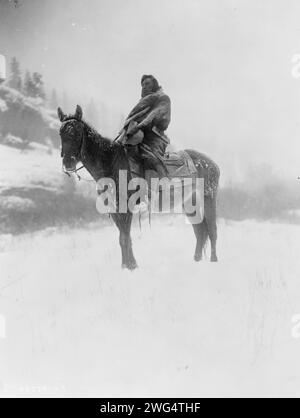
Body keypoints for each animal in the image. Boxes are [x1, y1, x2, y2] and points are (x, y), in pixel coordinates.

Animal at [57, 104, 219, 268]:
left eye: (76, 133)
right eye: (61, 134)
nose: (68, 163)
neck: (111, 163)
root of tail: (211, 163)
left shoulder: (126, 208)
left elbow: (124, 237)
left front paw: (130, 266)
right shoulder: (114, 209)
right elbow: (123, 238)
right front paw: (127, 266)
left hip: (208, 198)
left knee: (212, 229)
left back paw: (214, 260)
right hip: (189, 202)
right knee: (199, 231)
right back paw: (196, 260)